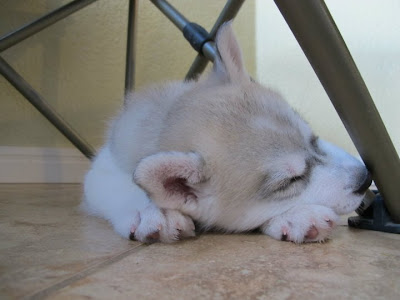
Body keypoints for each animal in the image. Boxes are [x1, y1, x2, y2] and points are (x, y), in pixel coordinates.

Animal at [82, 23, 372, 244]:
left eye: (313, 138)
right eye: (289, 181)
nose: (366, 178)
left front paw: (299, 215)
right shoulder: (100, 169)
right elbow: (120, 186)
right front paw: (152, 211)